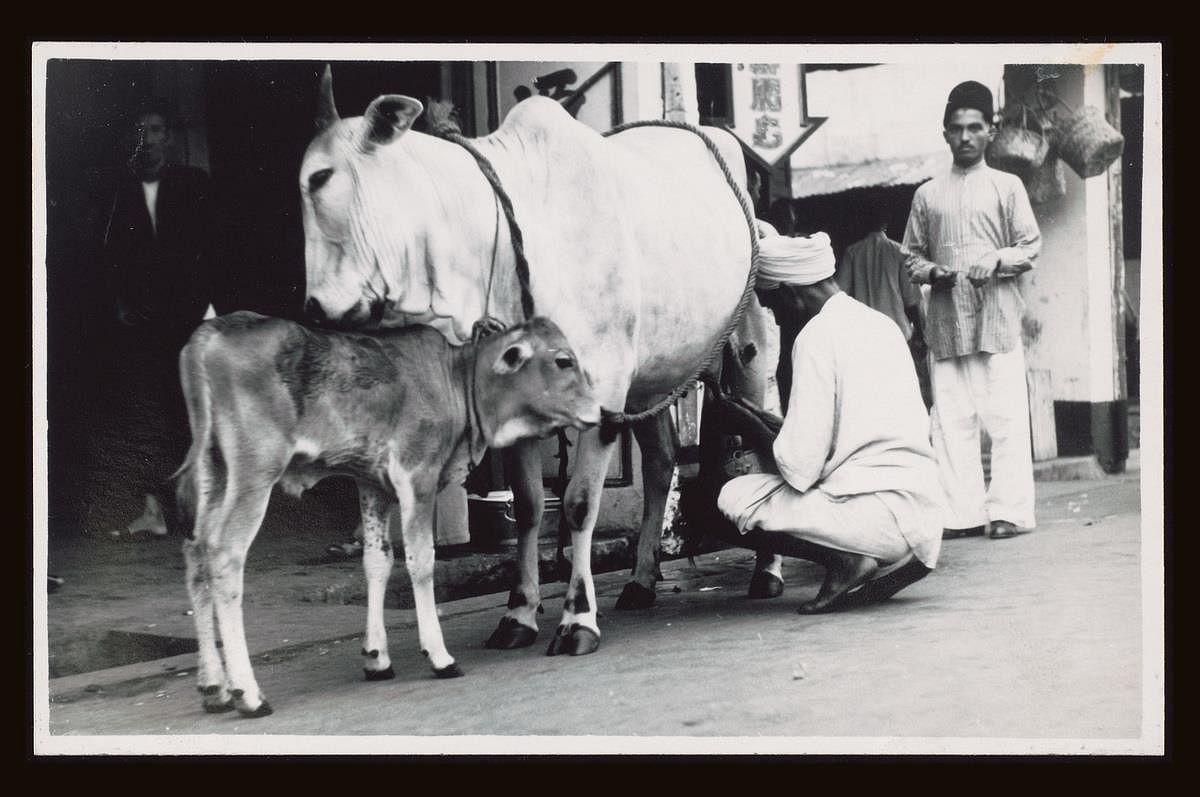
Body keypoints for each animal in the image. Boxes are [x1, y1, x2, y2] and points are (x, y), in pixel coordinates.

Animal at [297, 68, 768, 652]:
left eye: (319, 178)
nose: (315, 308)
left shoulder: (603, 393)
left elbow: (579, 503)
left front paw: (577, 618)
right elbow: (526, 508)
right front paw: (519, 613)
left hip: (745, 349)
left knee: (766, 440)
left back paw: (766, 573)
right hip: (653, 378)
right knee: (661, 465)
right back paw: (641, 579)